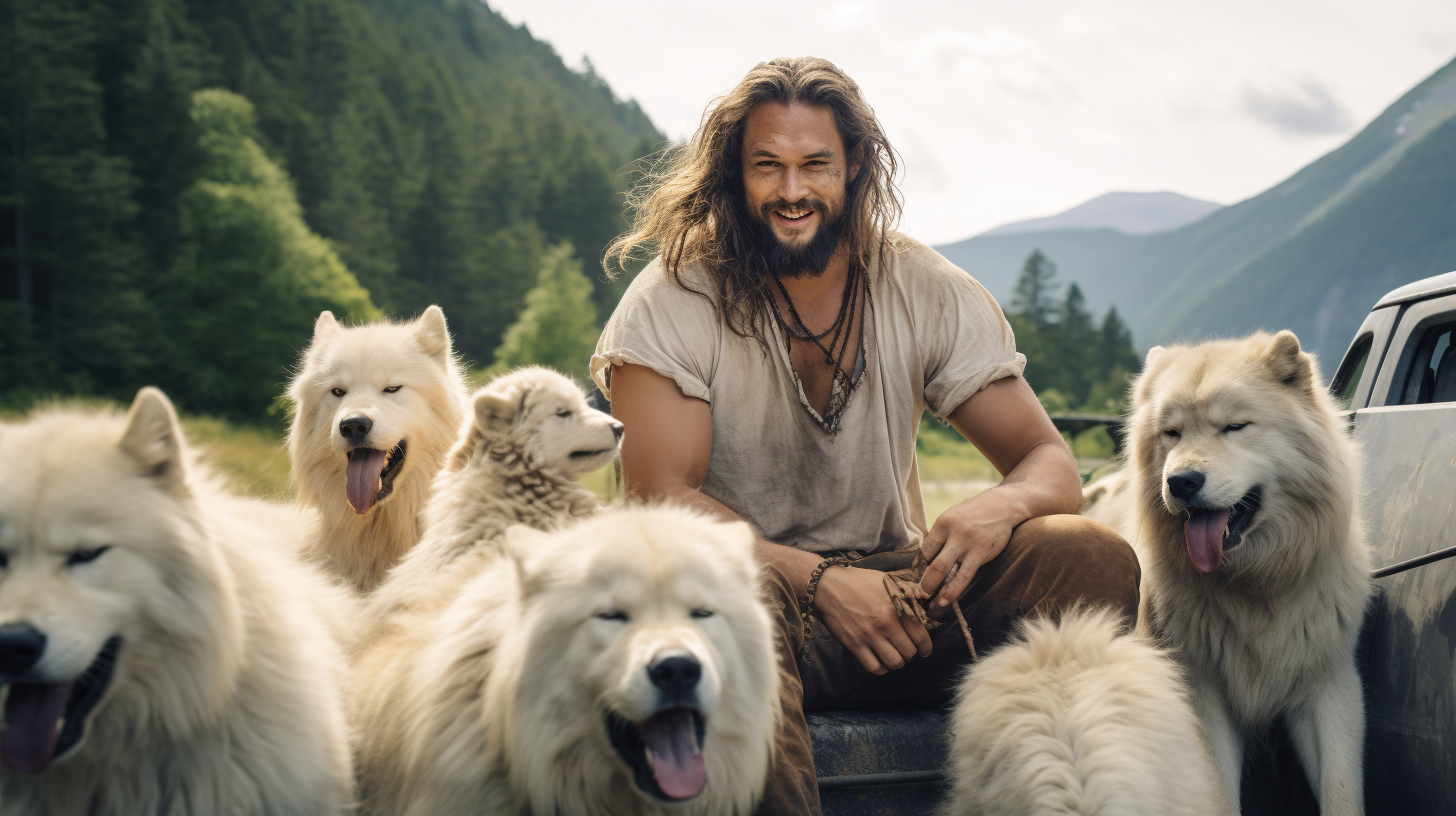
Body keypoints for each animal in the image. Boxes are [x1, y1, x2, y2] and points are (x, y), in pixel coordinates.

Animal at [1083, 327, 1374, 810]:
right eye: (1171, 433)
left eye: (1234, 427)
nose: (1180, 482)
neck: (1255, 584)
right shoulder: (1202, 693)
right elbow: (1217, 791)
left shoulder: (1328, 687)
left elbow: (1341, 790)